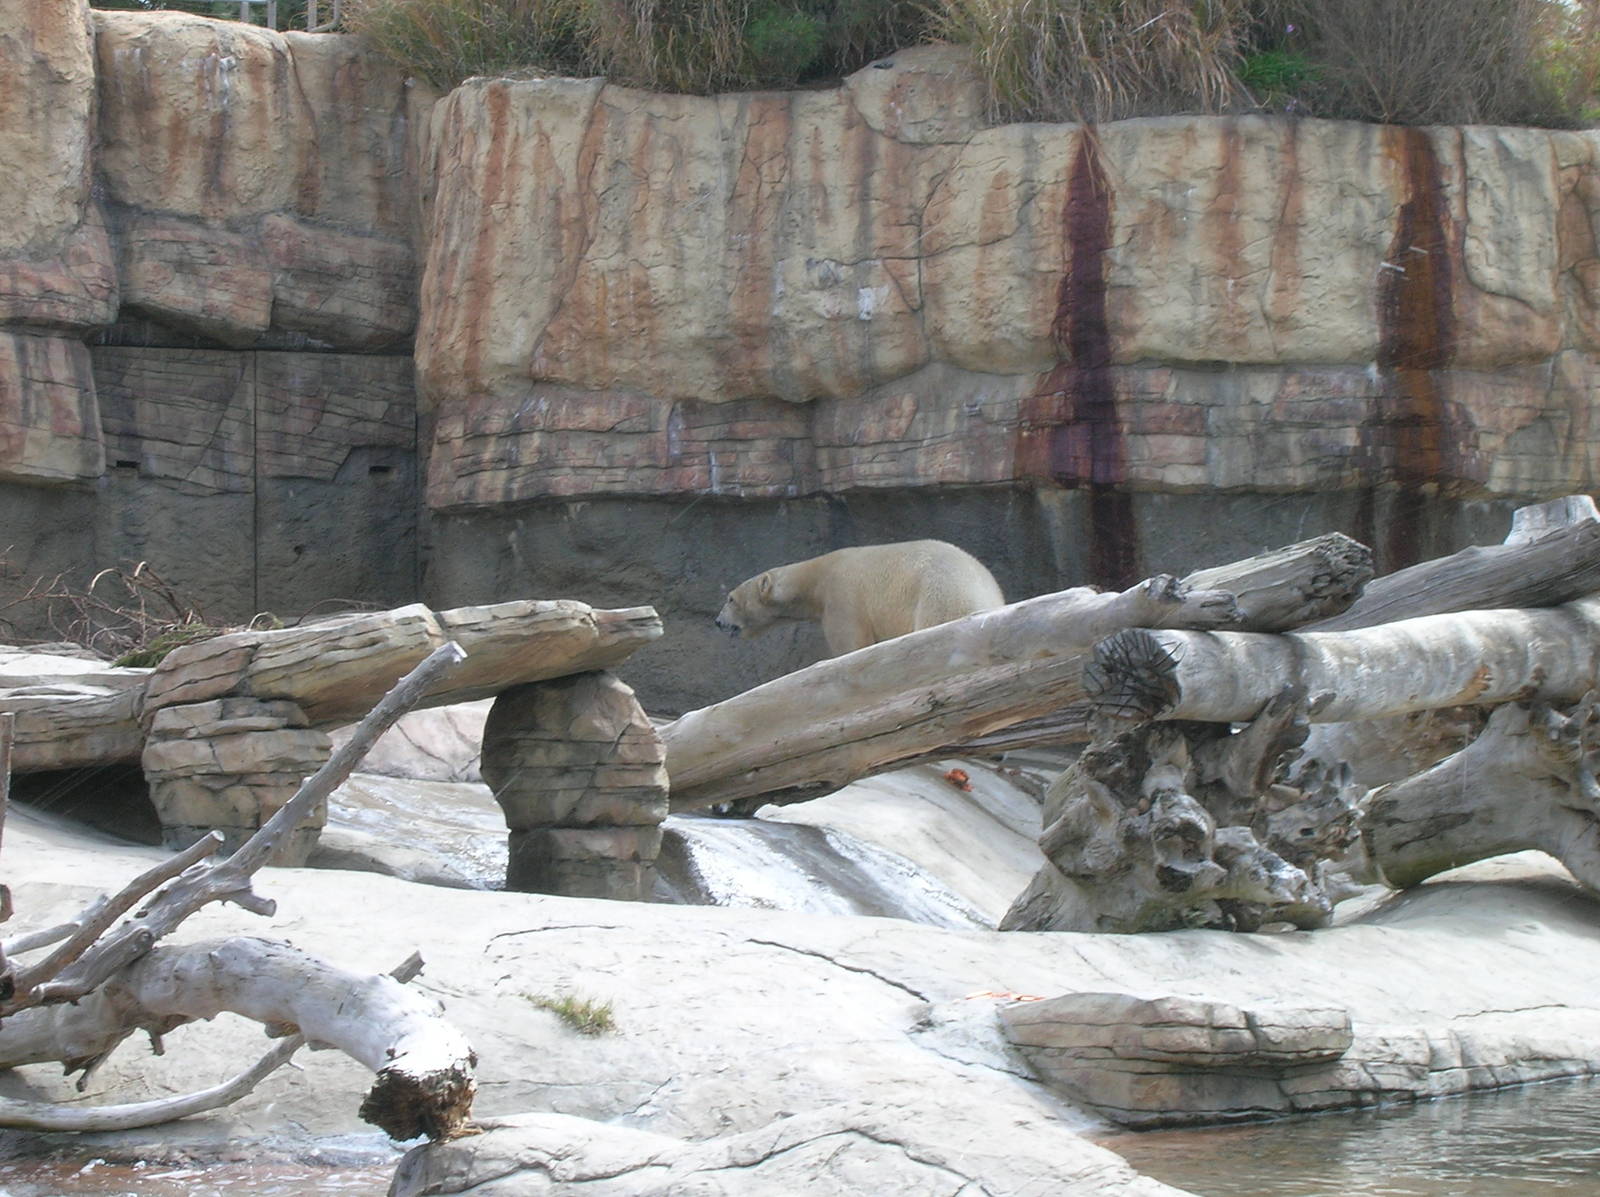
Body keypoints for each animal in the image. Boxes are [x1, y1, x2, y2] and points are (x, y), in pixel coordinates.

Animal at [714, 539, 1005, 657]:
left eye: (730, 599)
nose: (718, 622)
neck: (817, 579)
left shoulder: (842, 598)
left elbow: (851, 645)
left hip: (940, 597)